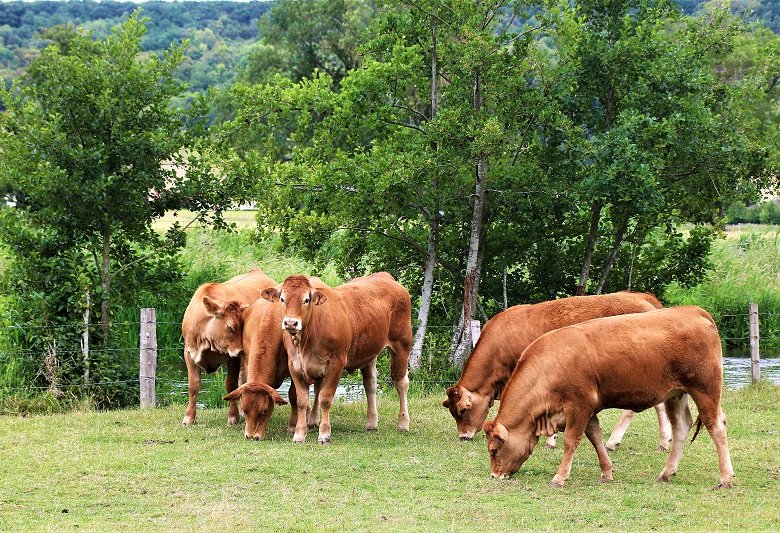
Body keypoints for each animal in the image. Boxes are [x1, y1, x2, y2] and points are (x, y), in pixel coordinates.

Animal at [180, 268, 278, 426]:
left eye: (243, 325)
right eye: (230, 327)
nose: (241, 351)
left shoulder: (233, 358)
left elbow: (231, 385)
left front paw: (233, 416)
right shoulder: (189, 353)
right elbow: (193, 386)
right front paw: (189, 417)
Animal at [260, 272, 412, 442]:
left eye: (306, 299)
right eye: (282, 299)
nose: (291, 323)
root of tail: (384, 276)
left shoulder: (336, 363)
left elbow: (325, 398)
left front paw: (324, 434)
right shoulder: (294, 365)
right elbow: (302, 401)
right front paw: (299, 434)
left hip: (402, 344)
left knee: (401, 383)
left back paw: (403, 423)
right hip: (369, 351)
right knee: (370, 384)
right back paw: (372, 422)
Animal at [442, 290, 672, 448]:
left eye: (462, 410)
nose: (463, 436)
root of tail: (641, 296)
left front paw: (550, 439)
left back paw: (613, 441)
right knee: (659, 403)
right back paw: (664, 440)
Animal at [484, 306, 736, 488]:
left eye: (494, 451)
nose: (495, 475)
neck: (549, 363)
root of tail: (693, 311)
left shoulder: (579, 405)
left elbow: (571, 441)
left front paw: (560, 477)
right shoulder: (589, 409)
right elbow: (595, 437)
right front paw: (606, 472)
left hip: (705, 390)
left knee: (716, 426)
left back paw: (725, 478)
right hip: (675, 394)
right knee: (681, 427)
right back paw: (666, 473)